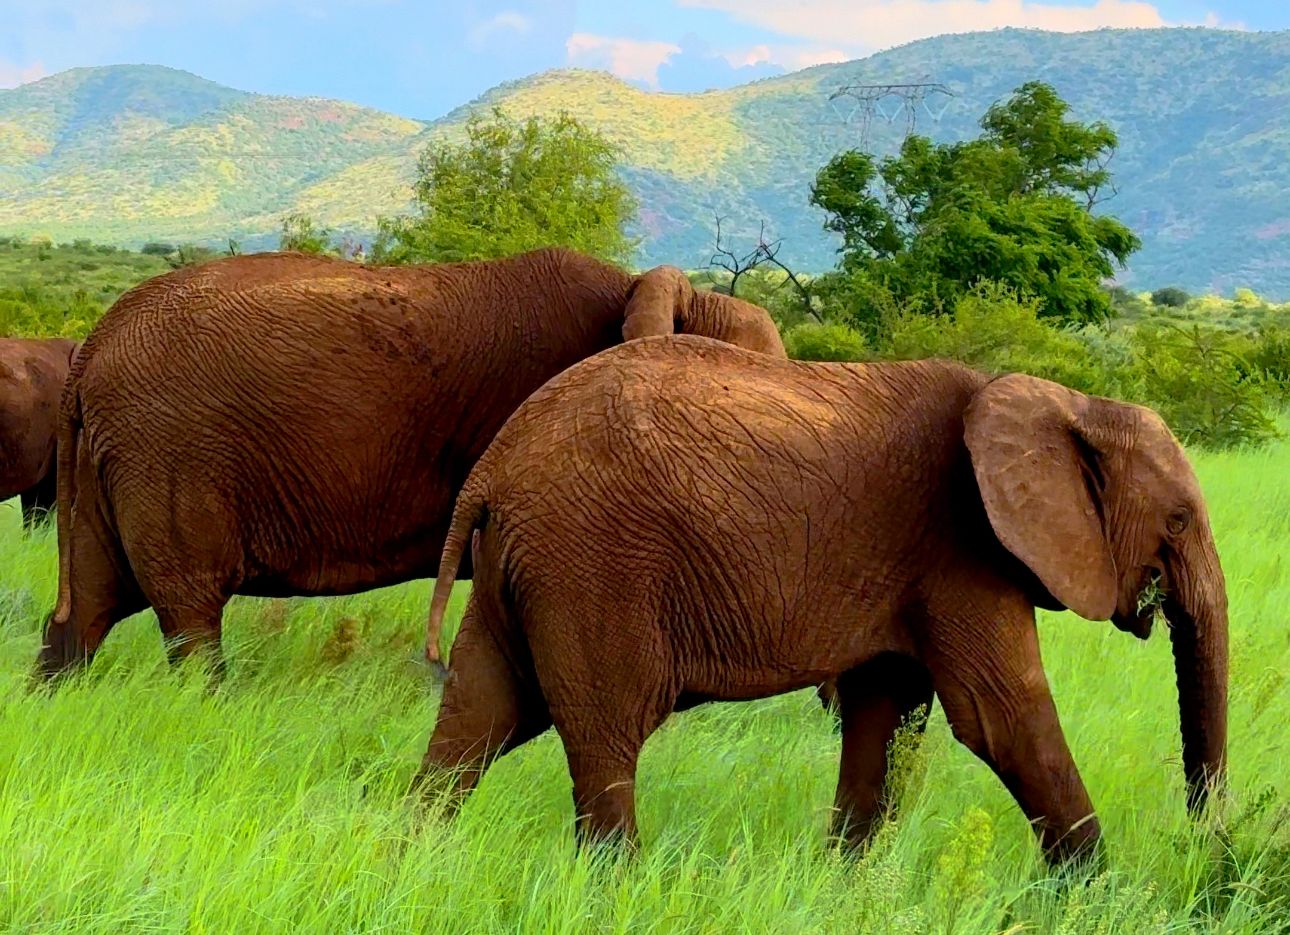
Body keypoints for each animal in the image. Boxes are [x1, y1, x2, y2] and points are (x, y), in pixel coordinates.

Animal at [415, 332, 1228, 866]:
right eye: (1177, 521)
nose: (1201, 838)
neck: (1067, 403)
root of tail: (494, 465)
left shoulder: (913, 564)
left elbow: (887, 716)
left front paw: (843, 881)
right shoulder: (962, 547)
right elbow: (1002, 717)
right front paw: (1098, 889)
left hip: (524, 567)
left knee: (478, 715)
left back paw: (413, 854)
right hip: (593, 563)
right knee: (605, 736)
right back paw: (617, 884)